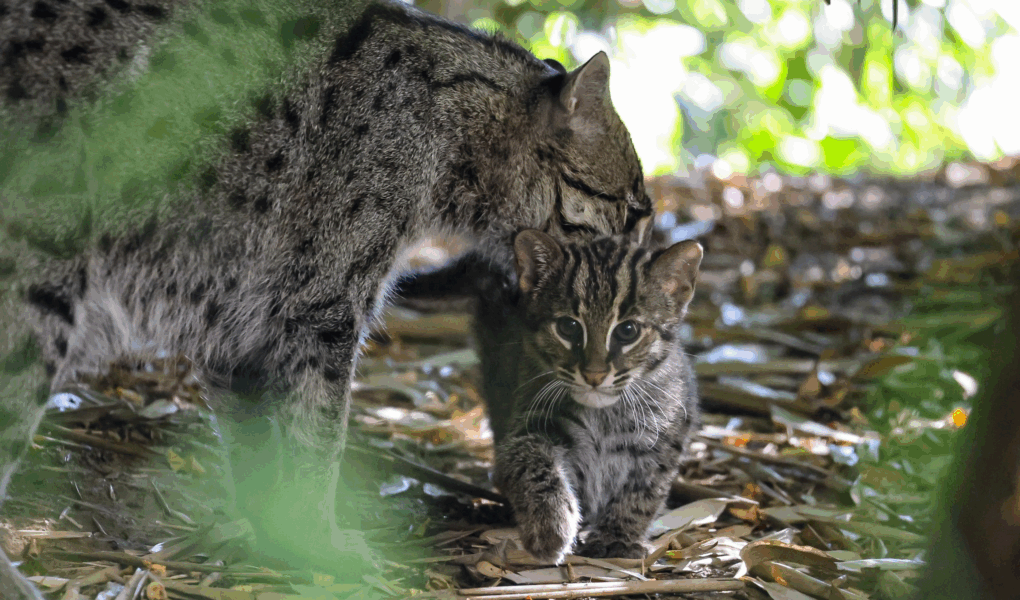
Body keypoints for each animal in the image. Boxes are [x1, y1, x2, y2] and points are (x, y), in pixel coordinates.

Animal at [0, 2, 652, 598]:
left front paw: (281, 537)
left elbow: (259, 446)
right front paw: (325, 546)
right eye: (635, 210)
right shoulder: (321, 309)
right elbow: (319, 438)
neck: (456, 140)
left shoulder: (239, 327)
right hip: (37, 291)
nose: (645, 265)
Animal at [491, 229, 702, 563]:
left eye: (628, 330)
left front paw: (618, 535)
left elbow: (644, 490)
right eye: (568, 327)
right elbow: (533, 466)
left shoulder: (665, 436)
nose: (593, 375)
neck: (603, 413)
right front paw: (551, 524)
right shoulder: (529, 424)